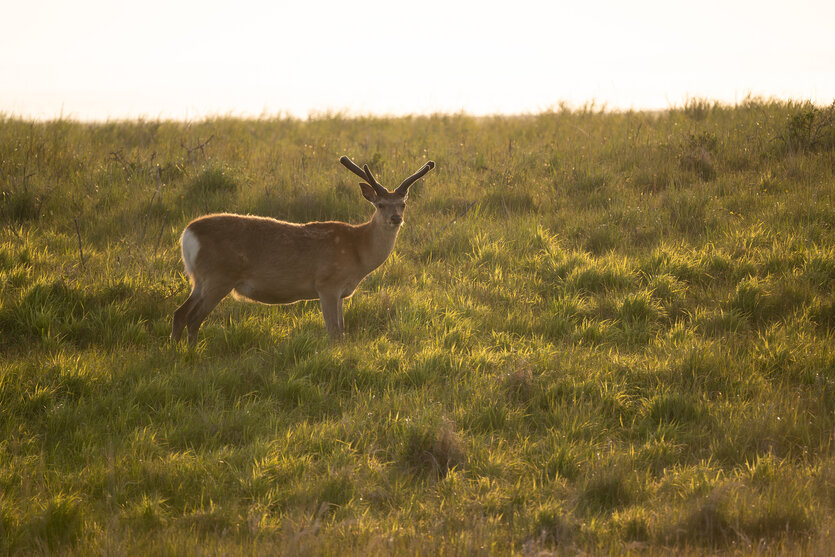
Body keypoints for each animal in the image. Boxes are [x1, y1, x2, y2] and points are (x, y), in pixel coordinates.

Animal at [167, 154, 434, 346]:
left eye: (403, 204)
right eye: (379, 205)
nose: (395, 218)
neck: (358, 252)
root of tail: (188, 233)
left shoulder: (341, 293)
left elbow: (342, 331)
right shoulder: (327, 283)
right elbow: (334, 333)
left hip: (200, 279)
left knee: (179, 313)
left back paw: (177, 352)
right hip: (219, 275)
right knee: (193, 319)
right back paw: (190, 353)